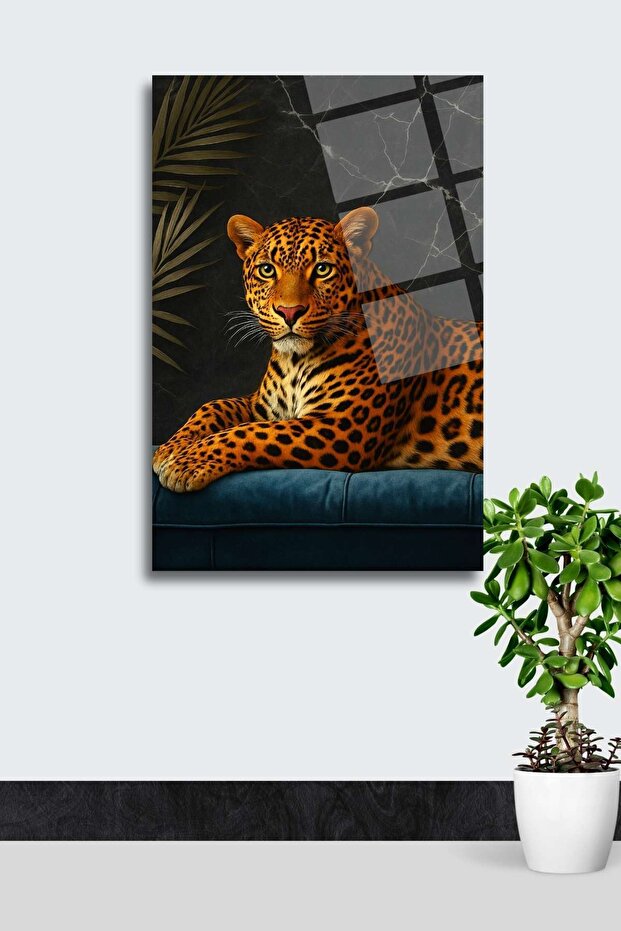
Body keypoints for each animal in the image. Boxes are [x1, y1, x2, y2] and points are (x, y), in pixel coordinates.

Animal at [153, 206, 483, 493]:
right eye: (267, 270)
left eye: (322, 269)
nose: (289, 312)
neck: (295, 362)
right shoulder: (262, 406)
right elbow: (214, 405)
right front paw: (171, 448)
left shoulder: (342, 426)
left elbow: (249, 432)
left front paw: (188, 463)